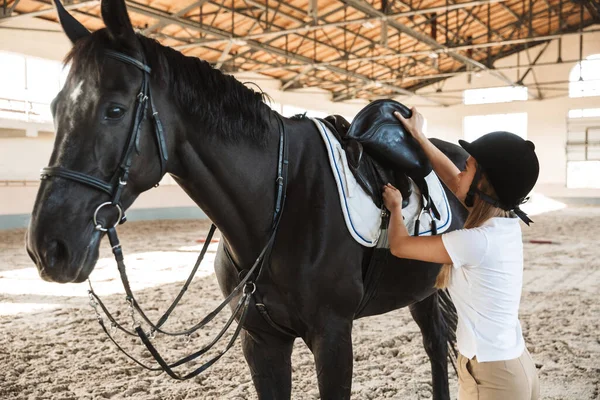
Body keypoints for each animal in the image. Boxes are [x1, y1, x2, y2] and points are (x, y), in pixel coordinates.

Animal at [25, 1, 468, 398]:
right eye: (55, 108)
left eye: (114, 110)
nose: (47, 248)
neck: (283, 201)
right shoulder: (261, 342)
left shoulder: (333, 337)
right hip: (422, 289)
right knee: (435, 341)